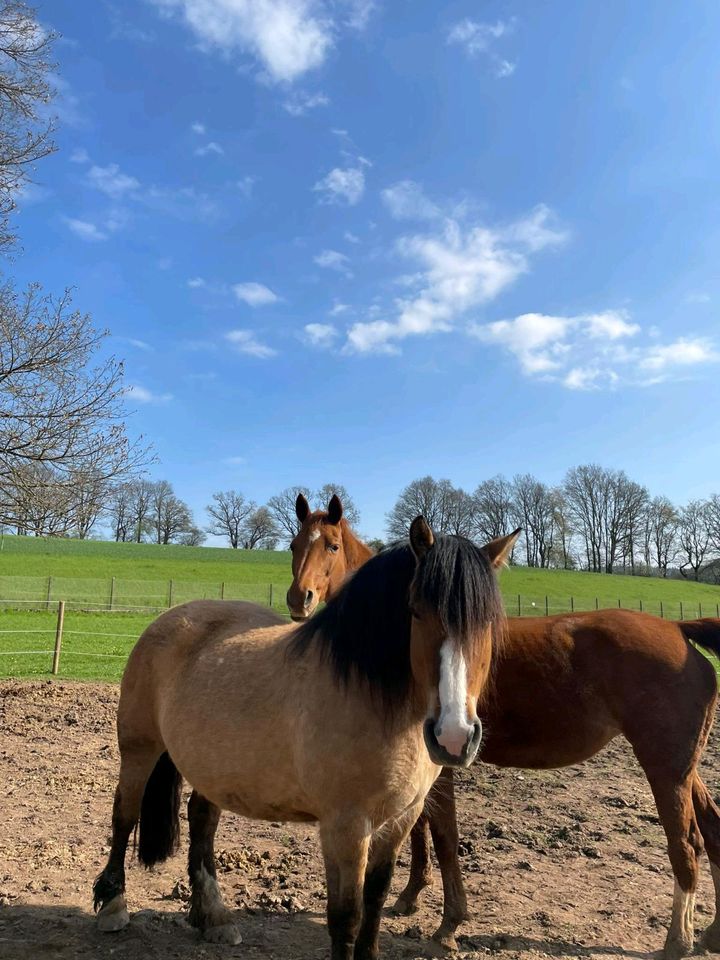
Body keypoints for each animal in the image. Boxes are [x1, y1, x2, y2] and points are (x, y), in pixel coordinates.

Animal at [94, 516, 516, 960]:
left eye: (489, 623)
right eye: (415, 612)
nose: (454, 735)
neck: (375, 698)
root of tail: (171, 617)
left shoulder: (402, 818)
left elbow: (375, 900)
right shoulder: (345, 826)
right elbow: (346, 917)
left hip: (212, 766)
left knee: (202, 821)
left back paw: (213, 916)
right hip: (139, 749)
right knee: (125, 813)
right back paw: (114, 905)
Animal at [290, 502, 720, 960]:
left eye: (331, 545)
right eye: (295, 545)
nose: (299, 599)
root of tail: (679, 630)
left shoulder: (441, 768)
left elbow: (443, 836)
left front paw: (449, 921)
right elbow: (420, 829)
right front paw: (411, 895)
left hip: (664, 768)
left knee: (685, 843)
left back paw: (678, 939)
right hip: (684, 768)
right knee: (712, 829)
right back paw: (711, 932)